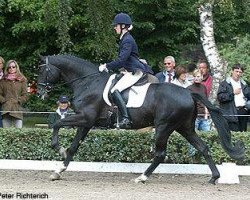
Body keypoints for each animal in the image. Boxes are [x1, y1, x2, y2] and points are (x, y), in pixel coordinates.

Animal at [37, 54, 244, 184]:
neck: (88, 82)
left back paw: (142, 177)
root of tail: (188, 93)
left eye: (42, 71)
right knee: (203, 147)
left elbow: (58, 123)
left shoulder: (84, 118)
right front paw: (58, 171)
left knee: (160, 154)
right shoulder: (87, 123)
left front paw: (58, 149)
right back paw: (214, 177)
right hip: (184, 127)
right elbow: (74, 146)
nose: (39, 93)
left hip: (164, 127)